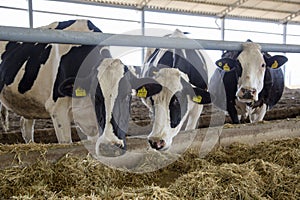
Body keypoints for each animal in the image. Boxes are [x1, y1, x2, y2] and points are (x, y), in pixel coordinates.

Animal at [0, 19, 162, 155]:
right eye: (96, 96)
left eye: (128, 95)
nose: (110, 146)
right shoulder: (58, 110)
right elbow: (66, 142)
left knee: (25, 125)